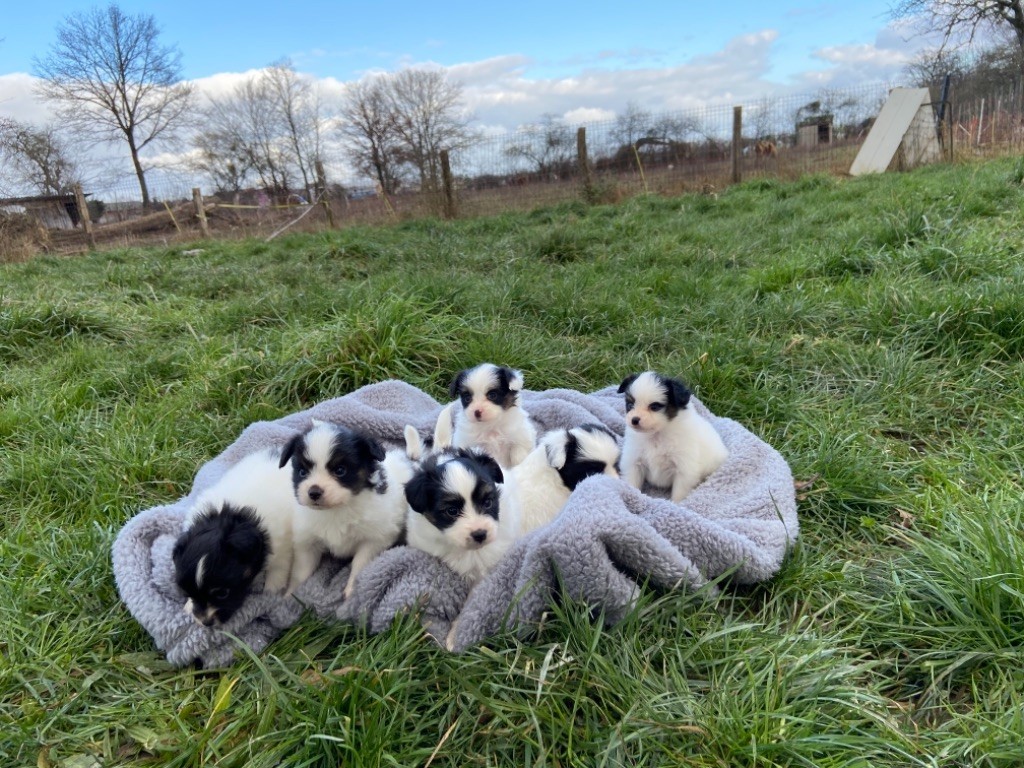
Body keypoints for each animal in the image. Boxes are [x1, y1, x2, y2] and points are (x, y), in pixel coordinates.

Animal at [173, 448, 296, 626]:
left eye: (222, 593)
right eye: (187, 591)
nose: (206, 622)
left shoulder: (282, 549)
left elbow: (277, 574)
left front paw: (269, 596)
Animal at [280, 421, 411, 602]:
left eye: (340, 470)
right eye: (302, 472)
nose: (314, 492)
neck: (338, 508)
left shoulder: (374, 539)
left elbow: (360, 565)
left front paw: (351, 592)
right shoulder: (307, 541)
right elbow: (301, 572)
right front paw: (289, 596)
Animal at [614, 372, 729, 505]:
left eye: (654, 407)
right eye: (630, 405)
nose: (634, 420)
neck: (657, 435)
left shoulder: (684, 469)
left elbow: (679, 493)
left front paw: (676, 505)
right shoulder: (634, 462)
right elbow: (632, 482)